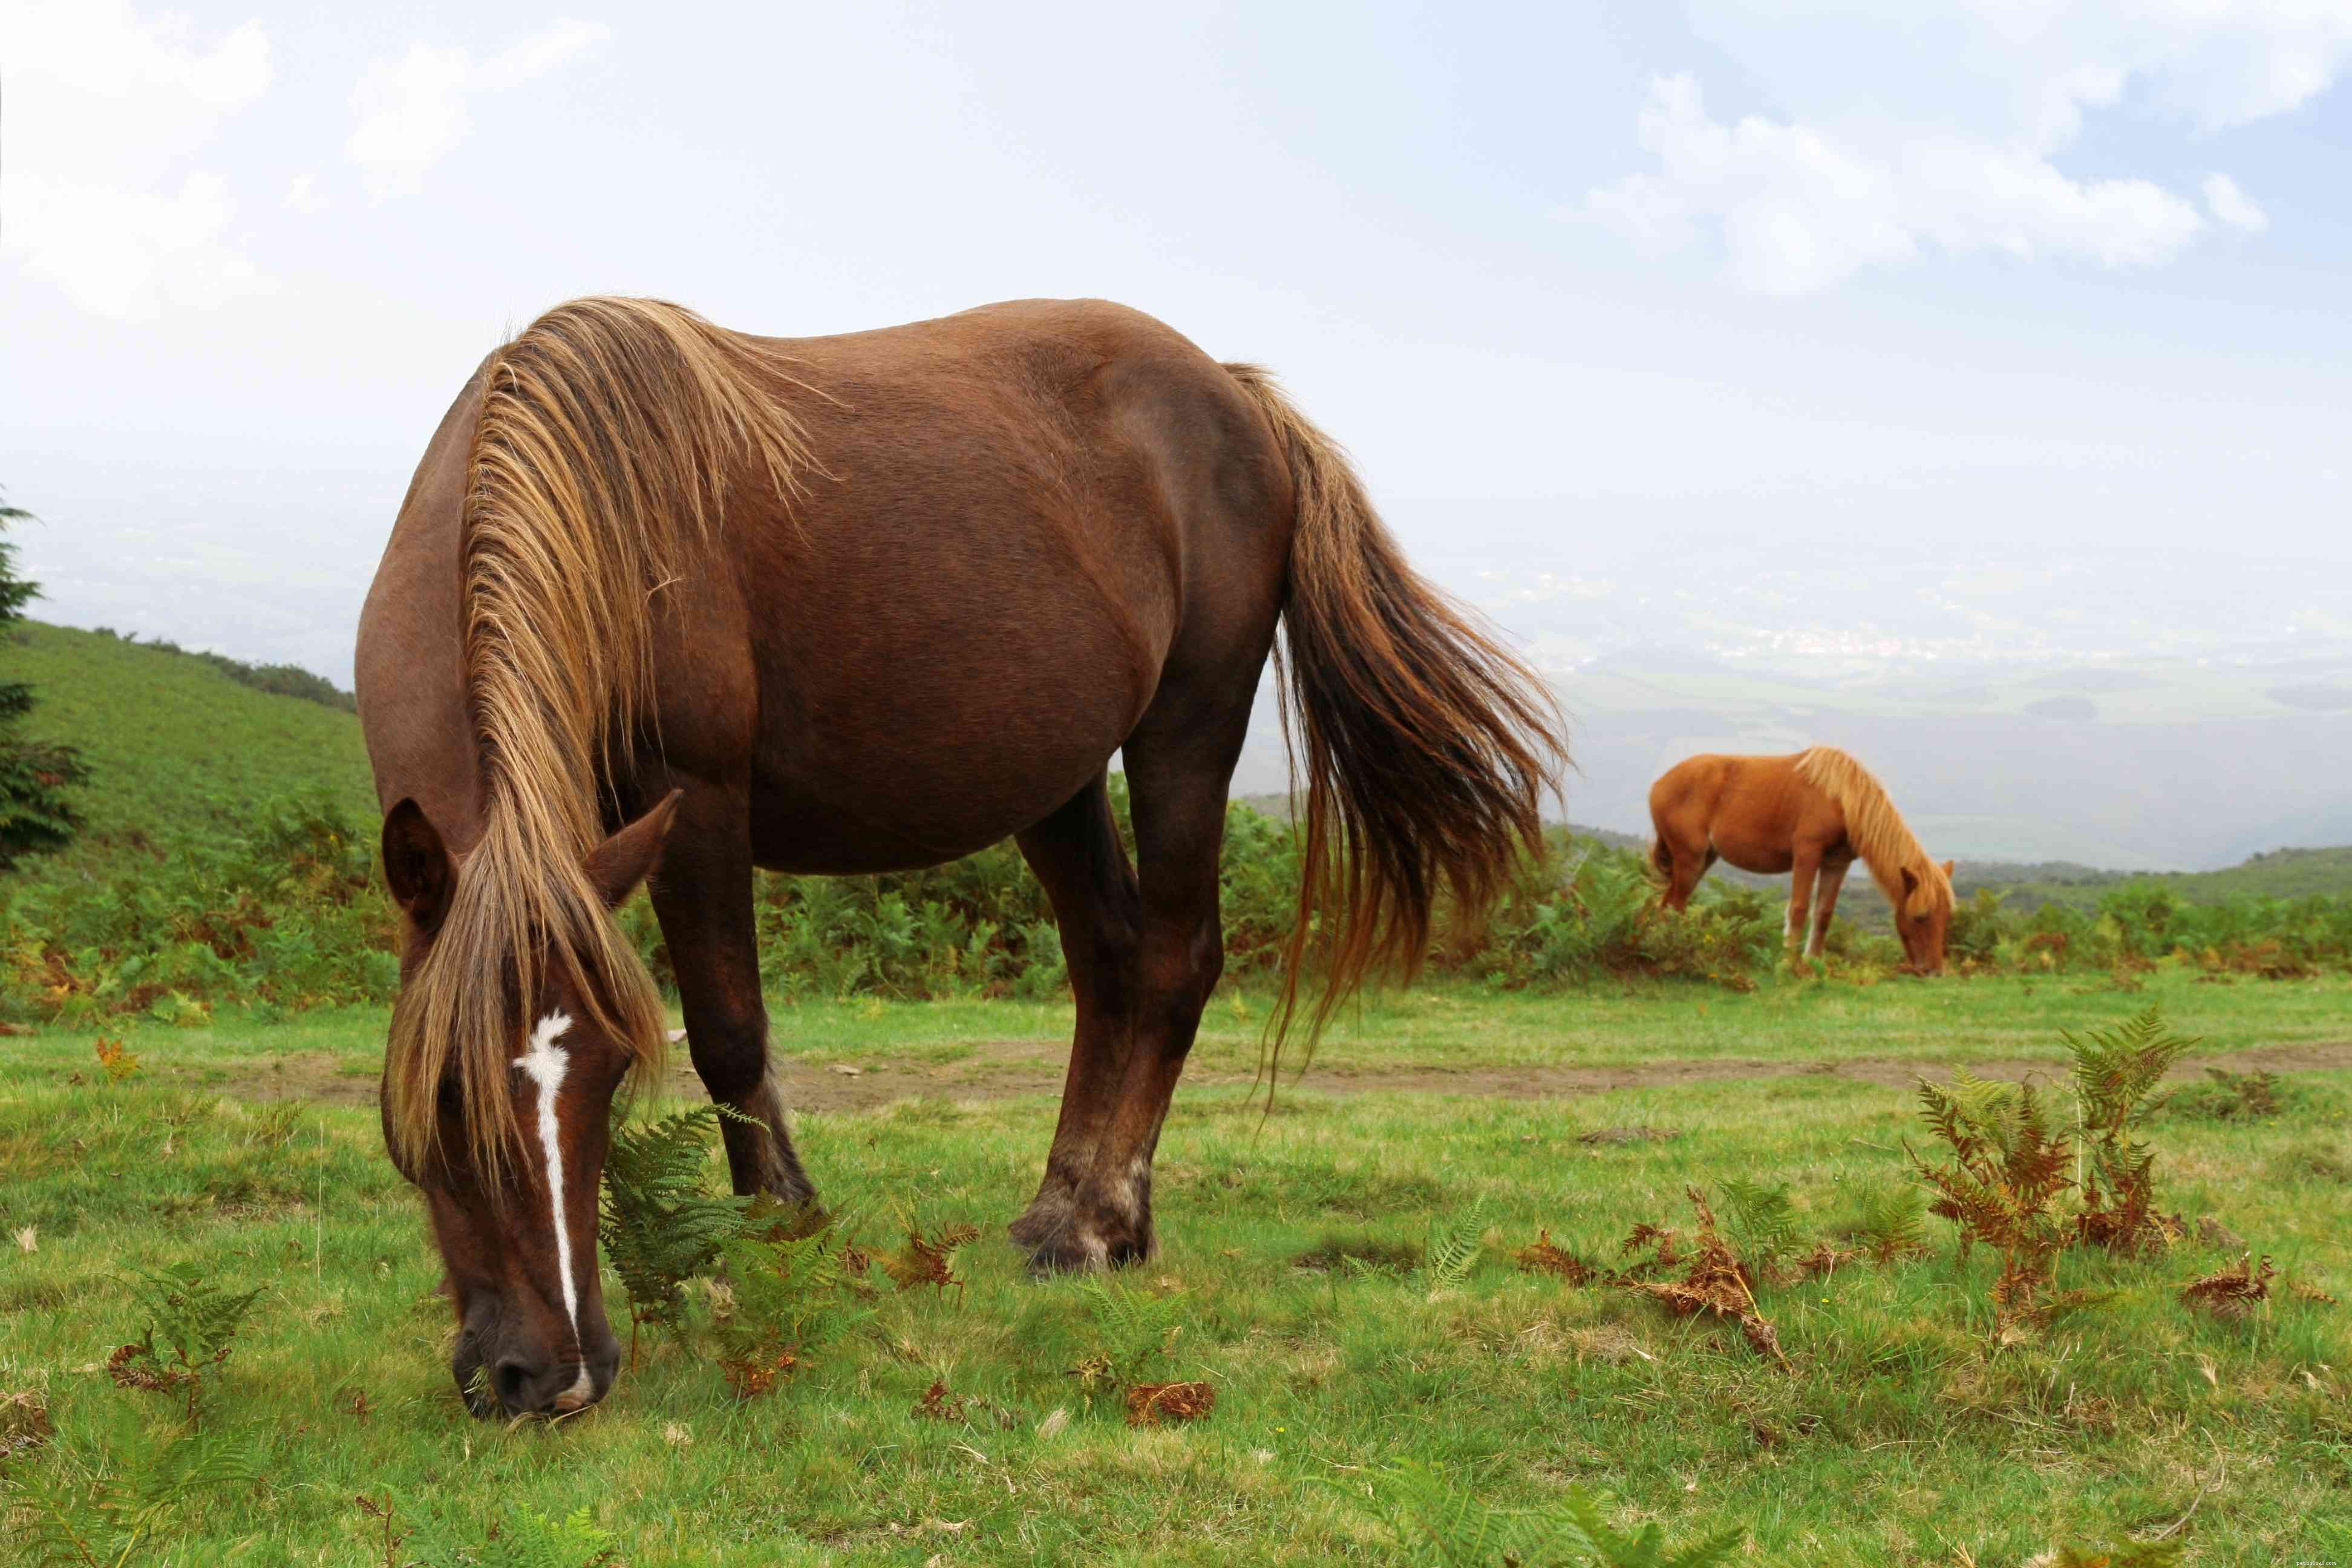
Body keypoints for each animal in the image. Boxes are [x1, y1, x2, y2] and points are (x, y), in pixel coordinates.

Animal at [354, 296, 1565, 1417]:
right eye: (446, 1094)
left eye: (611, 1073)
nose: (552, 1377)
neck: (599, 505)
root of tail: (1236, 394)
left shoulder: (696, 800)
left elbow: (730, 1034)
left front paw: (776, 1233)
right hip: (1055, 778)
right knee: (1109, 963)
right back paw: (1065, 1209)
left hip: (1188, 727)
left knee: (1175, 961)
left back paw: (1097, 1225)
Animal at [1646, 747, 1953, 973]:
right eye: (1921, 917)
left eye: (1946, 917)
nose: (1934, 971)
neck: (1841, 798)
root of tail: (1659, 785)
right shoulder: (1807, 855)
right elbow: (1799, 909)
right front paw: (1788, 964)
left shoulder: (1837, 864)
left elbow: (1824, 914)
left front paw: (1811, 964)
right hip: (1690, 860)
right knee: (1675, 906)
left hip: (1703, 859)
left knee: (1667, 905)